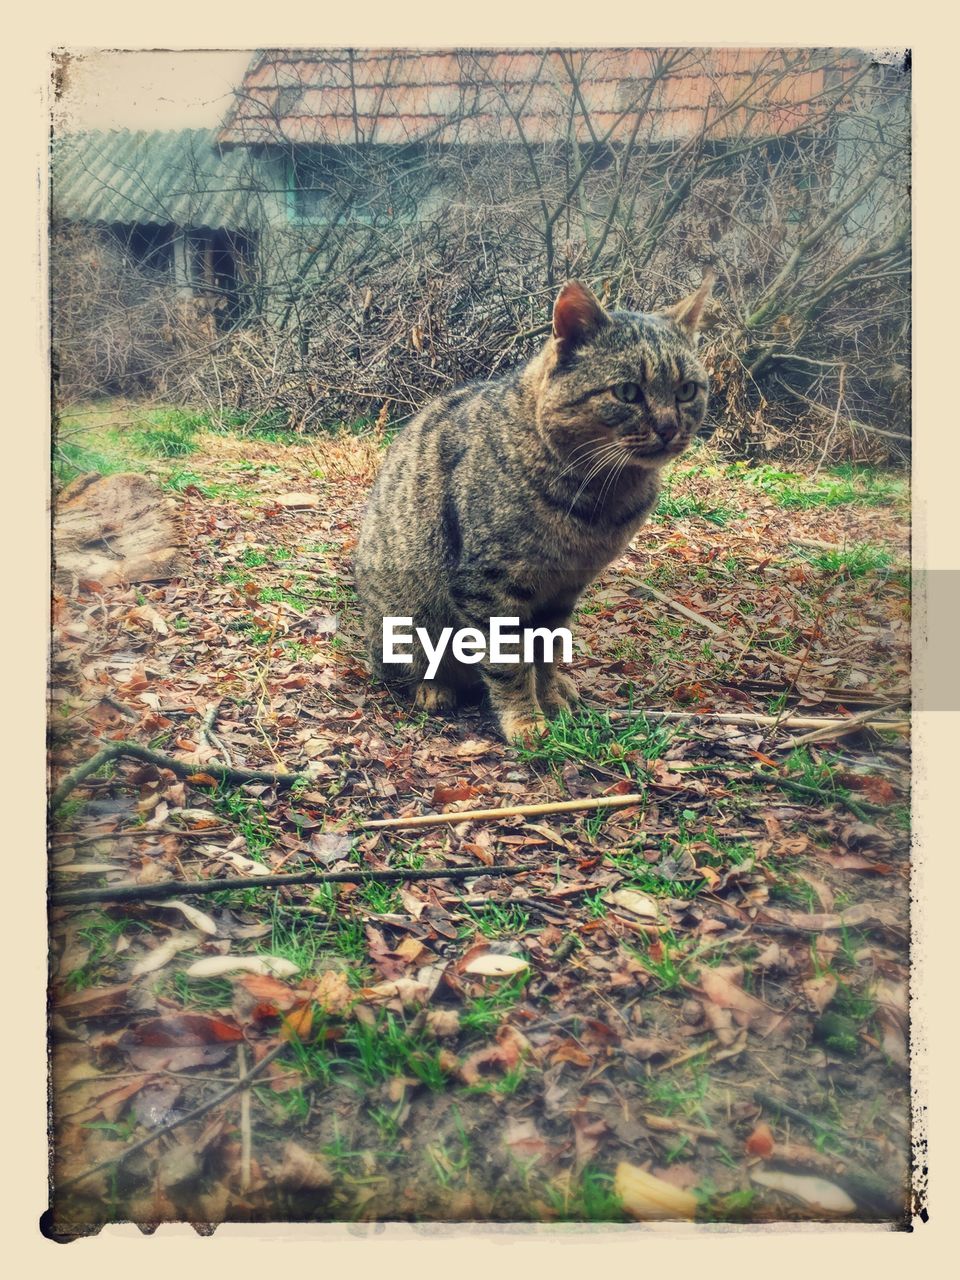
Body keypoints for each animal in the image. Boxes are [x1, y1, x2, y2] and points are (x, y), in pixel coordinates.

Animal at [353, 277, 716, 742]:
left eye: (687, 390)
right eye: (627, 392)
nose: (670, 428)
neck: (598, 501)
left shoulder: (562, 592)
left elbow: (546, 652)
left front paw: (552, 700)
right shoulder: (488, 586)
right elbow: (508, 663)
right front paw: (526, 720)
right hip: (406, 622)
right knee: (406, 668)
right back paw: (433, 688)